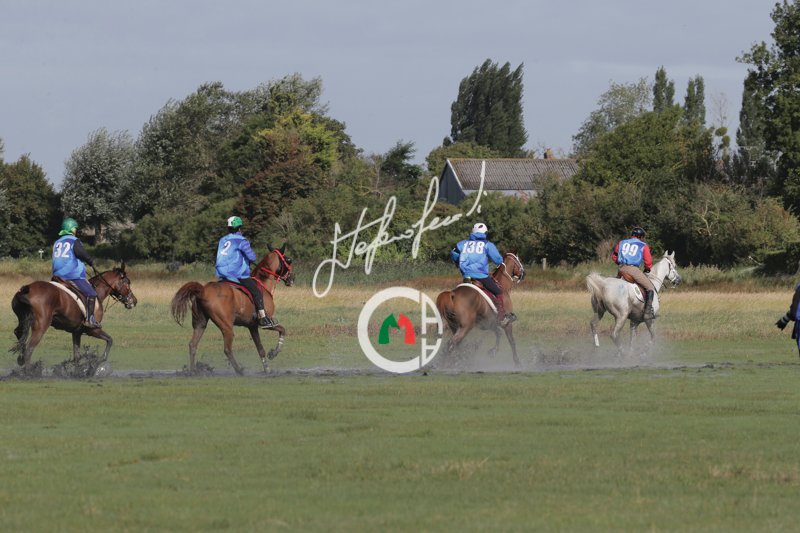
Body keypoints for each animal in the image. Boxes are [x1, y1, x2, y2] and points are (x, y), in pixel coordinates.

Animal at [170, 244, 294, 375]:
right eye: (289, 260)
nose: (292, 277)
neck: (263, 282)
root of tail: (203, 290)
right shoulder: (266, 323)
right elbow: (282, 330)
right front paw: (274, 353)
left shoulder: (252, 326)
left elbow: (260, 348)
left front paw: (267, 369)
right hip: (227, 327)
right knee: (227, 349)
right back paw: (239, 370)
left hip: (200, 324)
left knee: (193, 345)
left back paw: (193, 371)